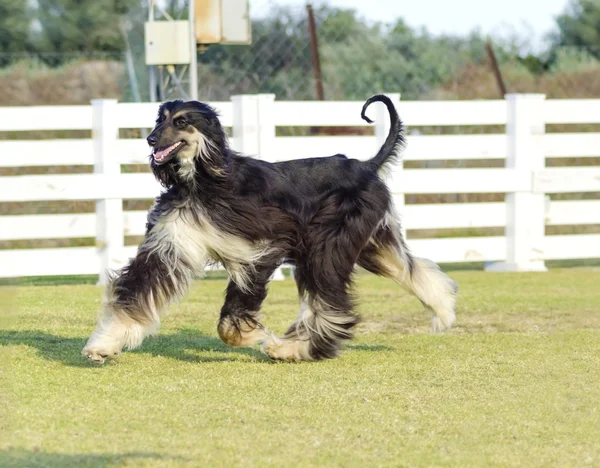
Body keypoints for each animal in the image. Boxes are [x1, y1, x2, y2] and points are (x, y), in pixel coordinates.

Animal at [82, 95, 458, 364]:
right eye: (159, 119)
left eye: (182, 121)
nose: (151, 139)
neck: (204, 182)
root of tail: (366, 166)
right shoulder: (172, 243)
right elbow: (137, 291)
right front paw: (104, 345)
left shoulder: (262, 247)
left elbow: (231, 317)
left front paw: (248, 336)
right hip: (370, 242)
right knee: (410, 268)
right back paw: (443, 311)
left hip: (328, 244)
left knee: (328, 303)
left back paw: (293, 349)